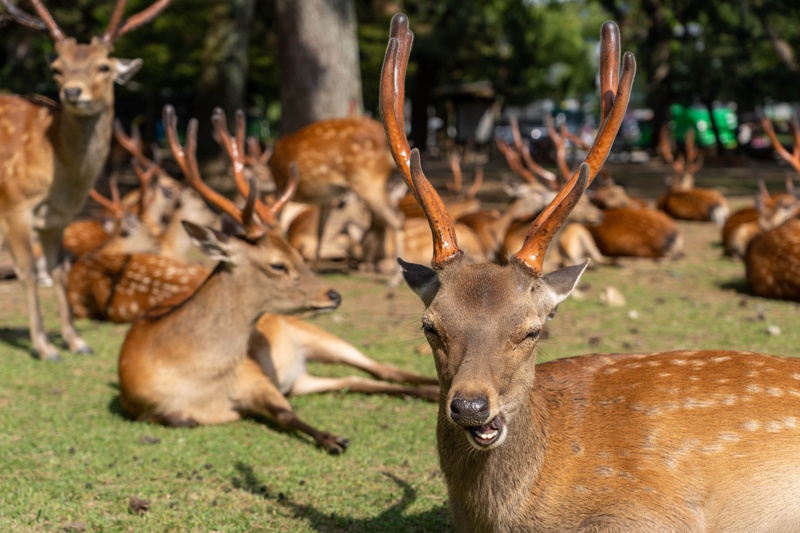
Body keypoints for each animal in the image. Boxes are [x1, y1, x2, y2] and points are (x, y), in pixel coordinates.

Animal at [0, 0, 170, 360]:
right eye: (58, 68)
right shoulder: (14, 205)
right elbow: (28, 273)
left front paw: (77, 342)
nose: (72, 91)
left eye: (103, 66)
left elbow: (58, 269)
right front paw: (45, 347)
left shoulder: (57, 217)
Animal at [117, 105, 438, 454]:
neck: (193, 379)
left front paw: (333, 439)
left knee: (381, 367)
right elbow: (181, 418)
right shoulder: (145, 407)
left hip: (312, 332)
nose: (333, 295)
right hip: (301, 377)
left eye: (296, 254)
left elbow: (285, 413)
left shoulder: (255, 376)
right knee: (357, 380)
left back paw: (433, 387)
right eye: (278, 264)